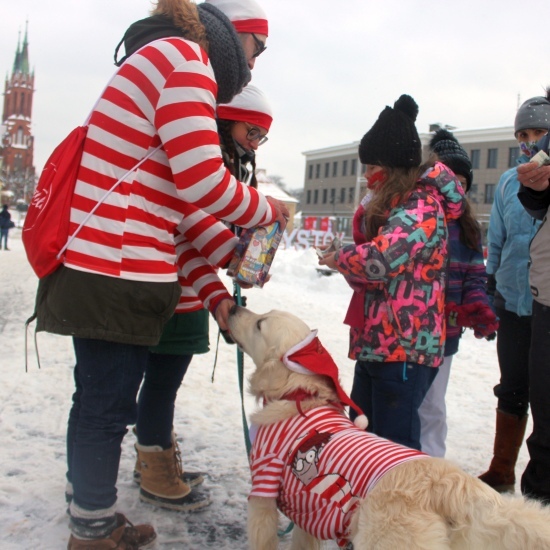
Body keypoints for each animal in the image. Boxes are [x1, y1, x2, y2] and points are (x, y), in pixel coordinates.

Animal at [229, 308, 550, 548]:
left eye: (259, 324)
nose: (232, 308)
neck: (298, 393)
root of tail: (448, 483)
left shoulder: (263, 489)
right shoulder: (306, 513)